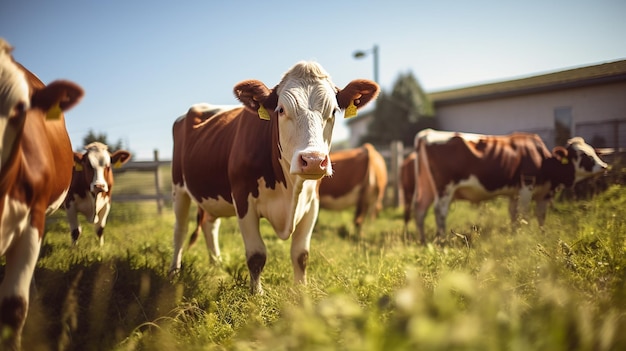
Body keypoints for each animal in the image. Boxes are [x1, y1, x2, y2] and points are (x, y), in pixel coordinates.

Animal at [168, 61, 378, 294]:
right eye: (281, 109)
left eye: (333, 111)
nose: (314, 160)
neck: (289, 188)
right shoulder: (243, 200)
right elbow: (256, 255)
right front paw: (256, 294)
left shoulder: (312, 203)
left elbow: (301, 255)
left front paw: (301, 291)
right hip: (179, 188)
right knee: (180, 230)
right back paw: (174, 272)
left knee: (210, 225)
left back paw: (217, 265)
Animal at [408, 129, 608, 245]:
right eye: (584, 155)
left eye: (593, 151)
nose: (604, 166)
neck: (543, 160)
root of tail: (427, 133)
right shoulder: (527, 185)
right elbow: (526, 214)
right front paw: (527, 235)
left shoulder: (519, 193)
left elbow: (522, 215)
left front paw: (525, 233)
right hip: (444, 189)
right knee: (439, 212)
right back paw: (443, 241)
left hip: (427, 187)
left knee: (420, 210)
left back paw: (422, 240)